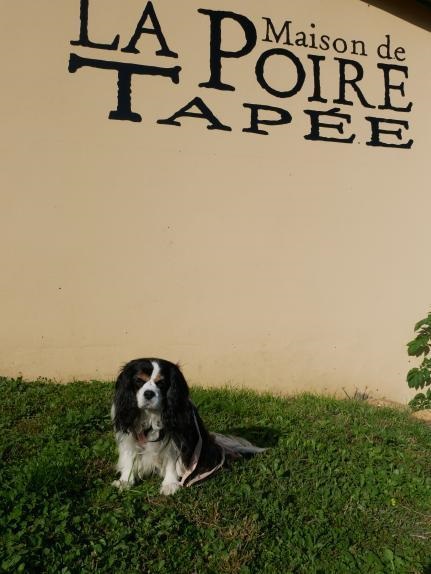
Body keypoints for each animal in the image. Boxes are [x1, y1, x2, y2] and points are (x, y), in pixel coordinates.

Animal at [111, 360, 264, 496]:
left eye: (161, 383)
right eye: (139, 380)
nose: (149, 393)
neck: (151, 415)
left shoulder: (177, 437)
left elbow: (172, 460)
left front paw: (170, 484)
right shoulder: (129, 436)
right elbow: (129, 457)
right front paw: (125, 480)